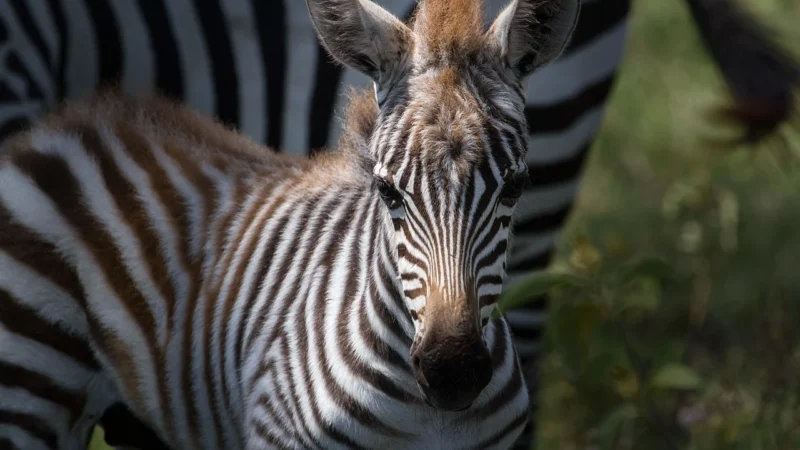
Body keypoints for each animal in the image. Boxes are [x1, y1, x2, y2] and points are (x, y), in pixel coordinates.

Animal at [0, 0, 582, 448]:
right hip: (31, 378)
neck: (428, 418)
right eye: (388, 191)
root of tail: (63, 127)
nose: (453, 373)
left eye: (515, 187)